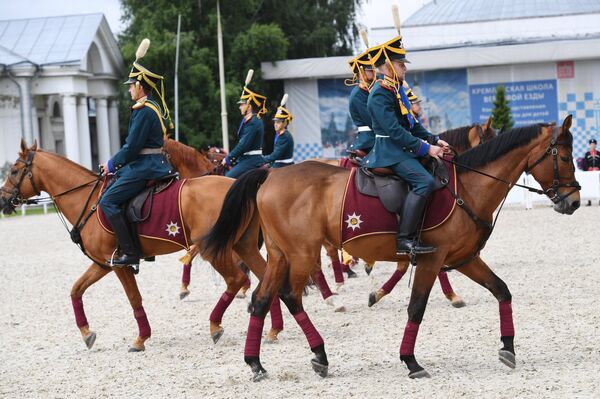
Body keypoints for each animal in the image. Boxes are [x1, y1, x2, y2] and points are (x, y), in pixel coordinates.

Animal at [204, 115, 580, 382]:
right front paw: (411, 361)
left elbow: (502, 291)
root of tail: (270, 176)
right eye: (563, 156)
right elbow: (416, 308)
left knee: (262, 299)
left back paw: (255, 363)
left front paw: (508, 348)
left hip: (281, 255)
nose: (574, 201)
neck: (467, 187)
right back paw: (320, 354)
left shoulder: (464, 259)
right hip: (302, 254)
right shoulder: (431, 259)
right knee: (290, 295)